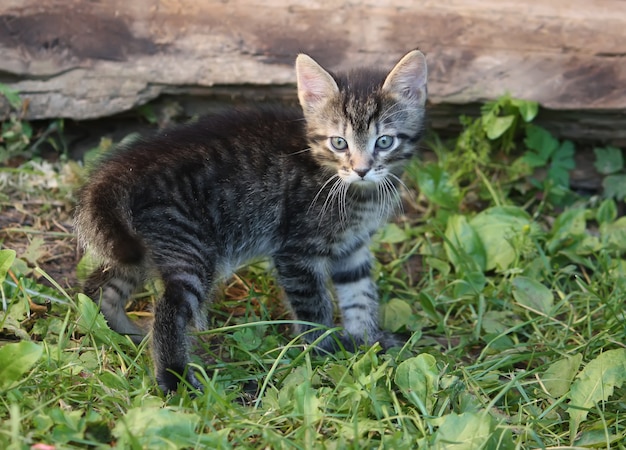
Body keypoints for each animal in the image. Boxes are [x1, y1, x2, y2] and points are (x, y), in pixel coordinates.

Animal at [72, 50, 424, 394]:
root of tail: (124, 167)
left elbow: (360, 294)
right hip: (187, 246)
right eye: (339, 142)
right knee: (169, 309)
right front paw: (321, 350)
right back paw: (175, 379)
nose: (362, 169)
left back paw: (123, 337)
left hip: (138, 244)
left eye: (384, 142)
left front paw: (366, 342)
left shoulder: (353, 247)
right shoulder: (296, 251)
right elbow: (313, 306)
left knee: (100, 288)